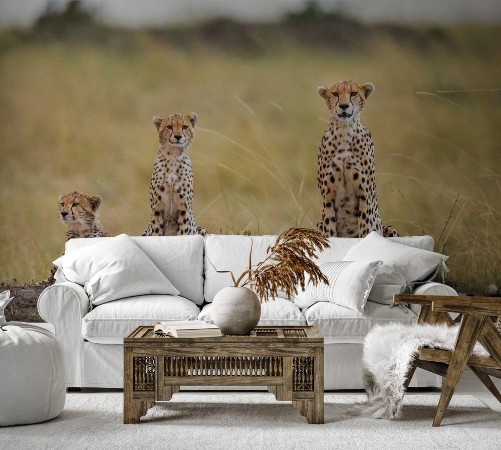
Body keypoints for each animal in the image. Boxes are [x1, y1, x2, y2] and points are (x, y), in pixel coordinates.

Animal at [318, 80, 396, 239]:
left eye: (353, 93)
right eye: (335, 94)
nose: (343, 106)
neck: (344, 131)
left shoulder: (365, 196)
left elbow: (366, 231)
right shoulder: (328, 199)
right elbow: (329, 233)